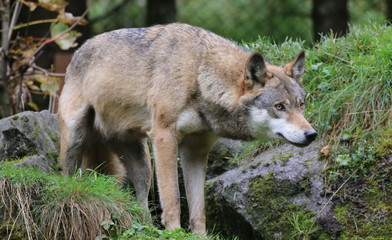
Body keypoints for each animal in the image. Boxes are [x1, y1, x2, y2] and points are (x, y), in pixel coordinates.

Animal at [57, 23, 316, 234]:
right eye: (279, 106)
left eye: (301, 105)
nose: (312, 134)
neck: (199, 73)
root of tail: (79, 51)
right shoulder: (164, 137)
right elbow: (173, 200)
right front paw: (174, 233)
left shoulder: (196, 150)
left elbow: (198, 207)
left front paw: (199, 236)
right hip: (75, 140)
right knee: (68, 178)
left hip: (142, 162)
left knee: (141, 199)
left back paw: (146, 230)